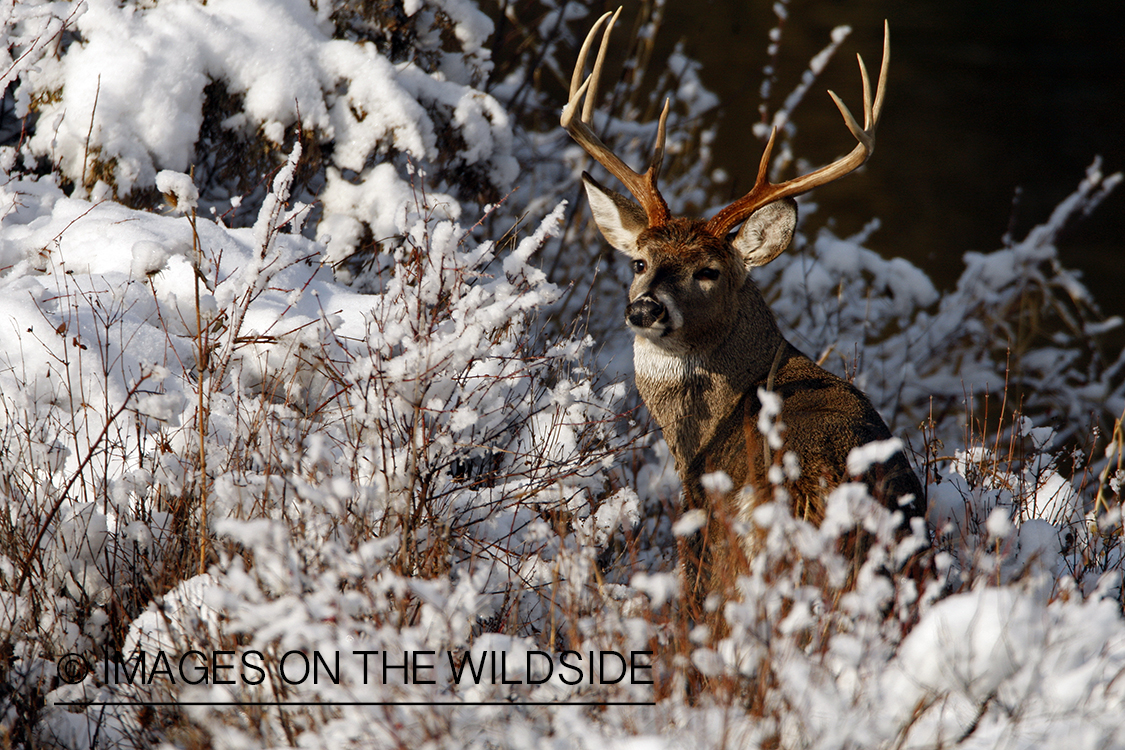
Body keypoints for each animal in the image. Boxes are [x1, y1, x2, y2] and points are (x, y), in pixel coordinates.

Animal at [562, 10, 922, 598]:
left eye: (708, 272)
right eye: (638, 262)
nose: (645, 310)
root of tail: (818, 491)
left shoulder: (696, 511)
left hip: (736, 550)